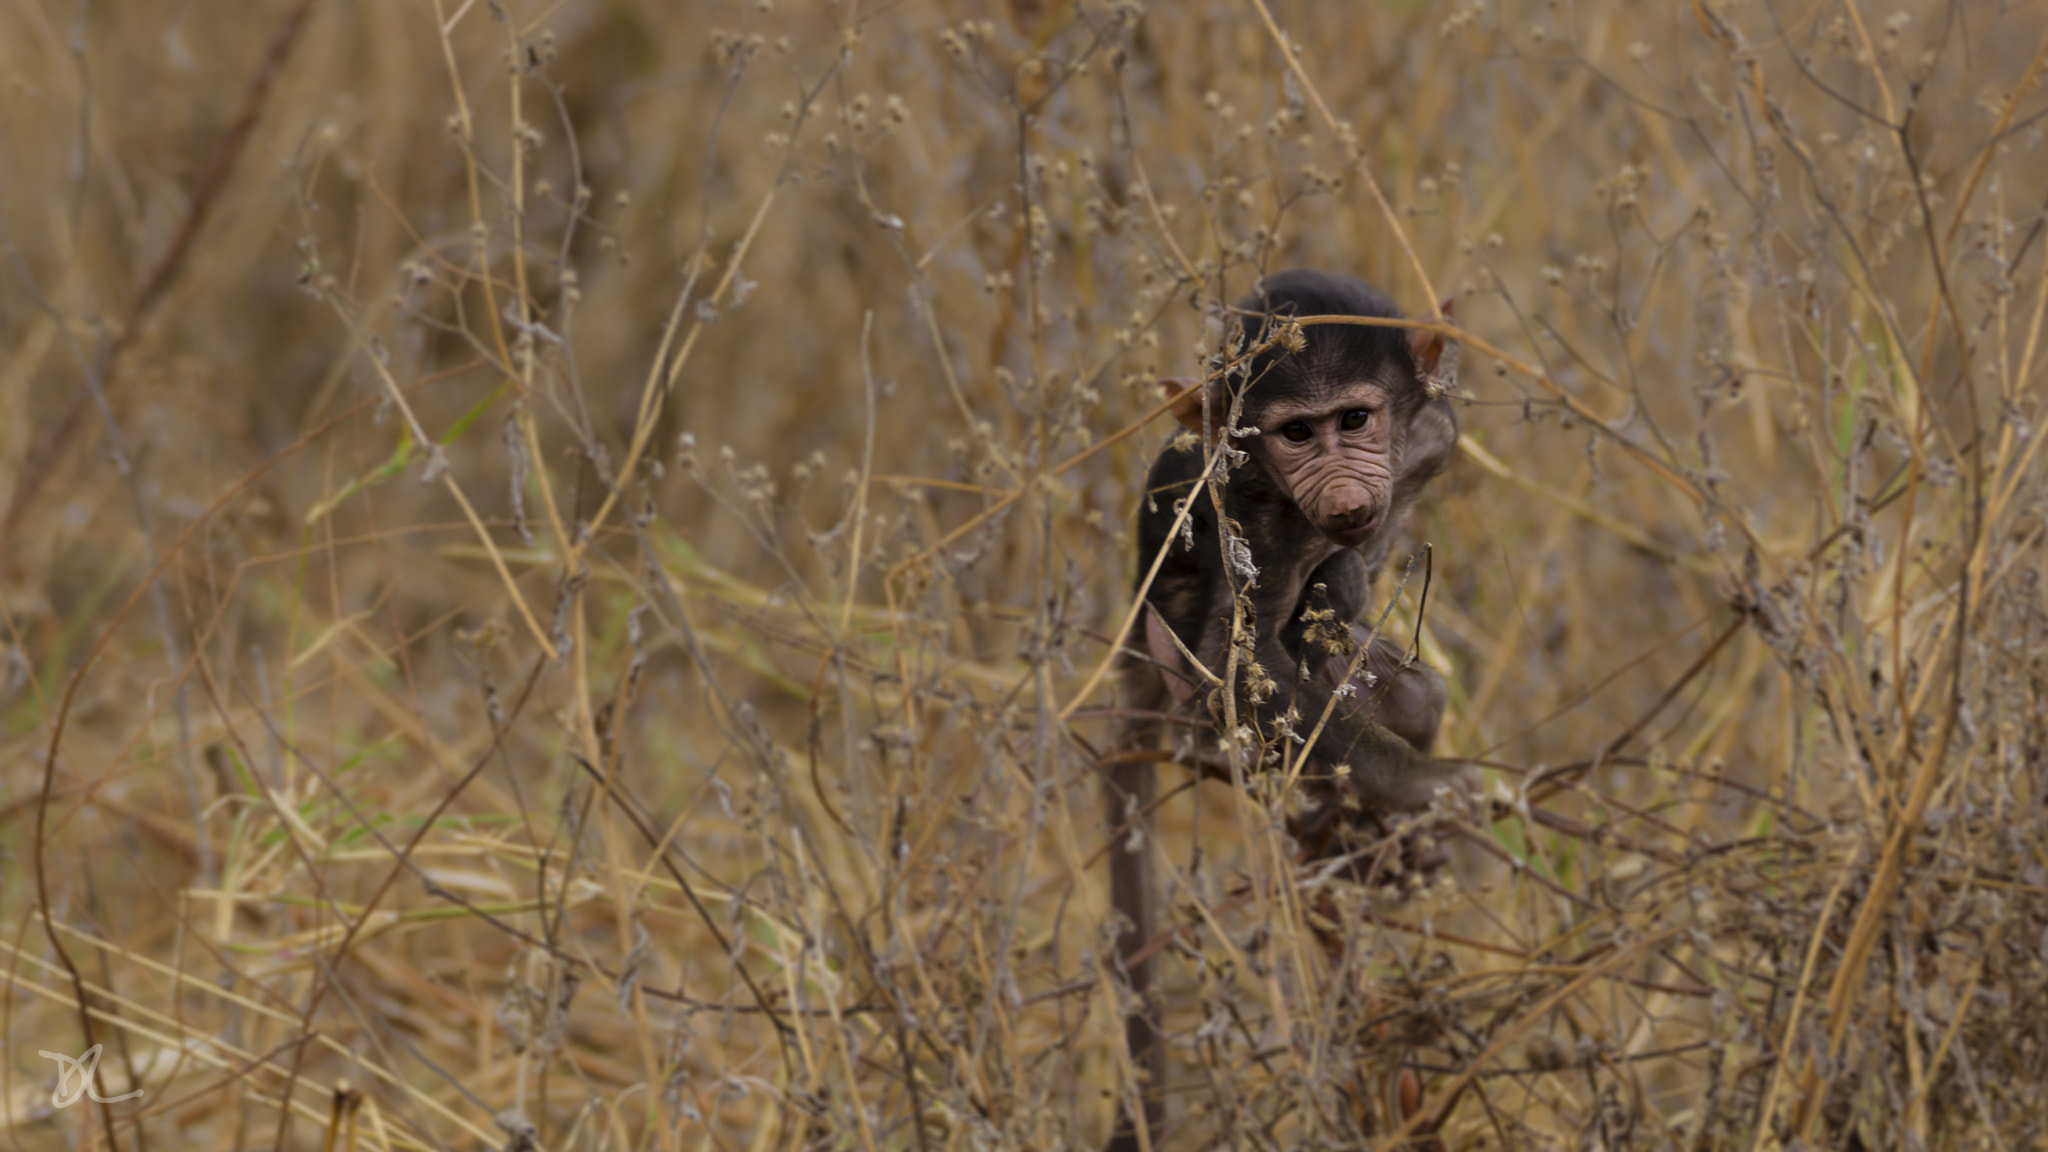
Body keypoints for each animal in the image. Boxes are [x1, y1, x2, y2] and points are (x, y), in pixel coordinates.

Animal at [1104, 269, 1482, 1152]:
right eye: (1296, 434)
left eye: (1355, 421)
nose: (1341, 491)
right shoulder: (1256, 509)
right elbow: (1238, 665)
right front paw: (1428, 788)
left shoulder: (1435, 434)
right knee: (1324, 596)